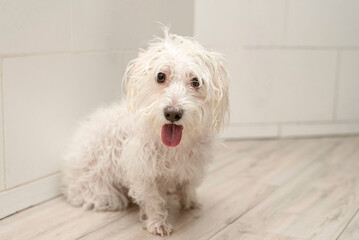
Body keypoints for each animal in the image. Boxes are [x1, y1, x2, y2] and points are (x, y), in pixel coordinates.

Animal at [62, 28, 229, 236]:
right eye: (161, 76)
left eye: (196, 82)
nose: (172, 113)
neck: (173, 147)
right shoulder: (143, 171)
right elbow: (153, 200)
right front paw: (158, 223)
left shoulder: (192, 165)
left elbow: (187, 185)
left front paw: (189, 201)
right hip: (104, 194)